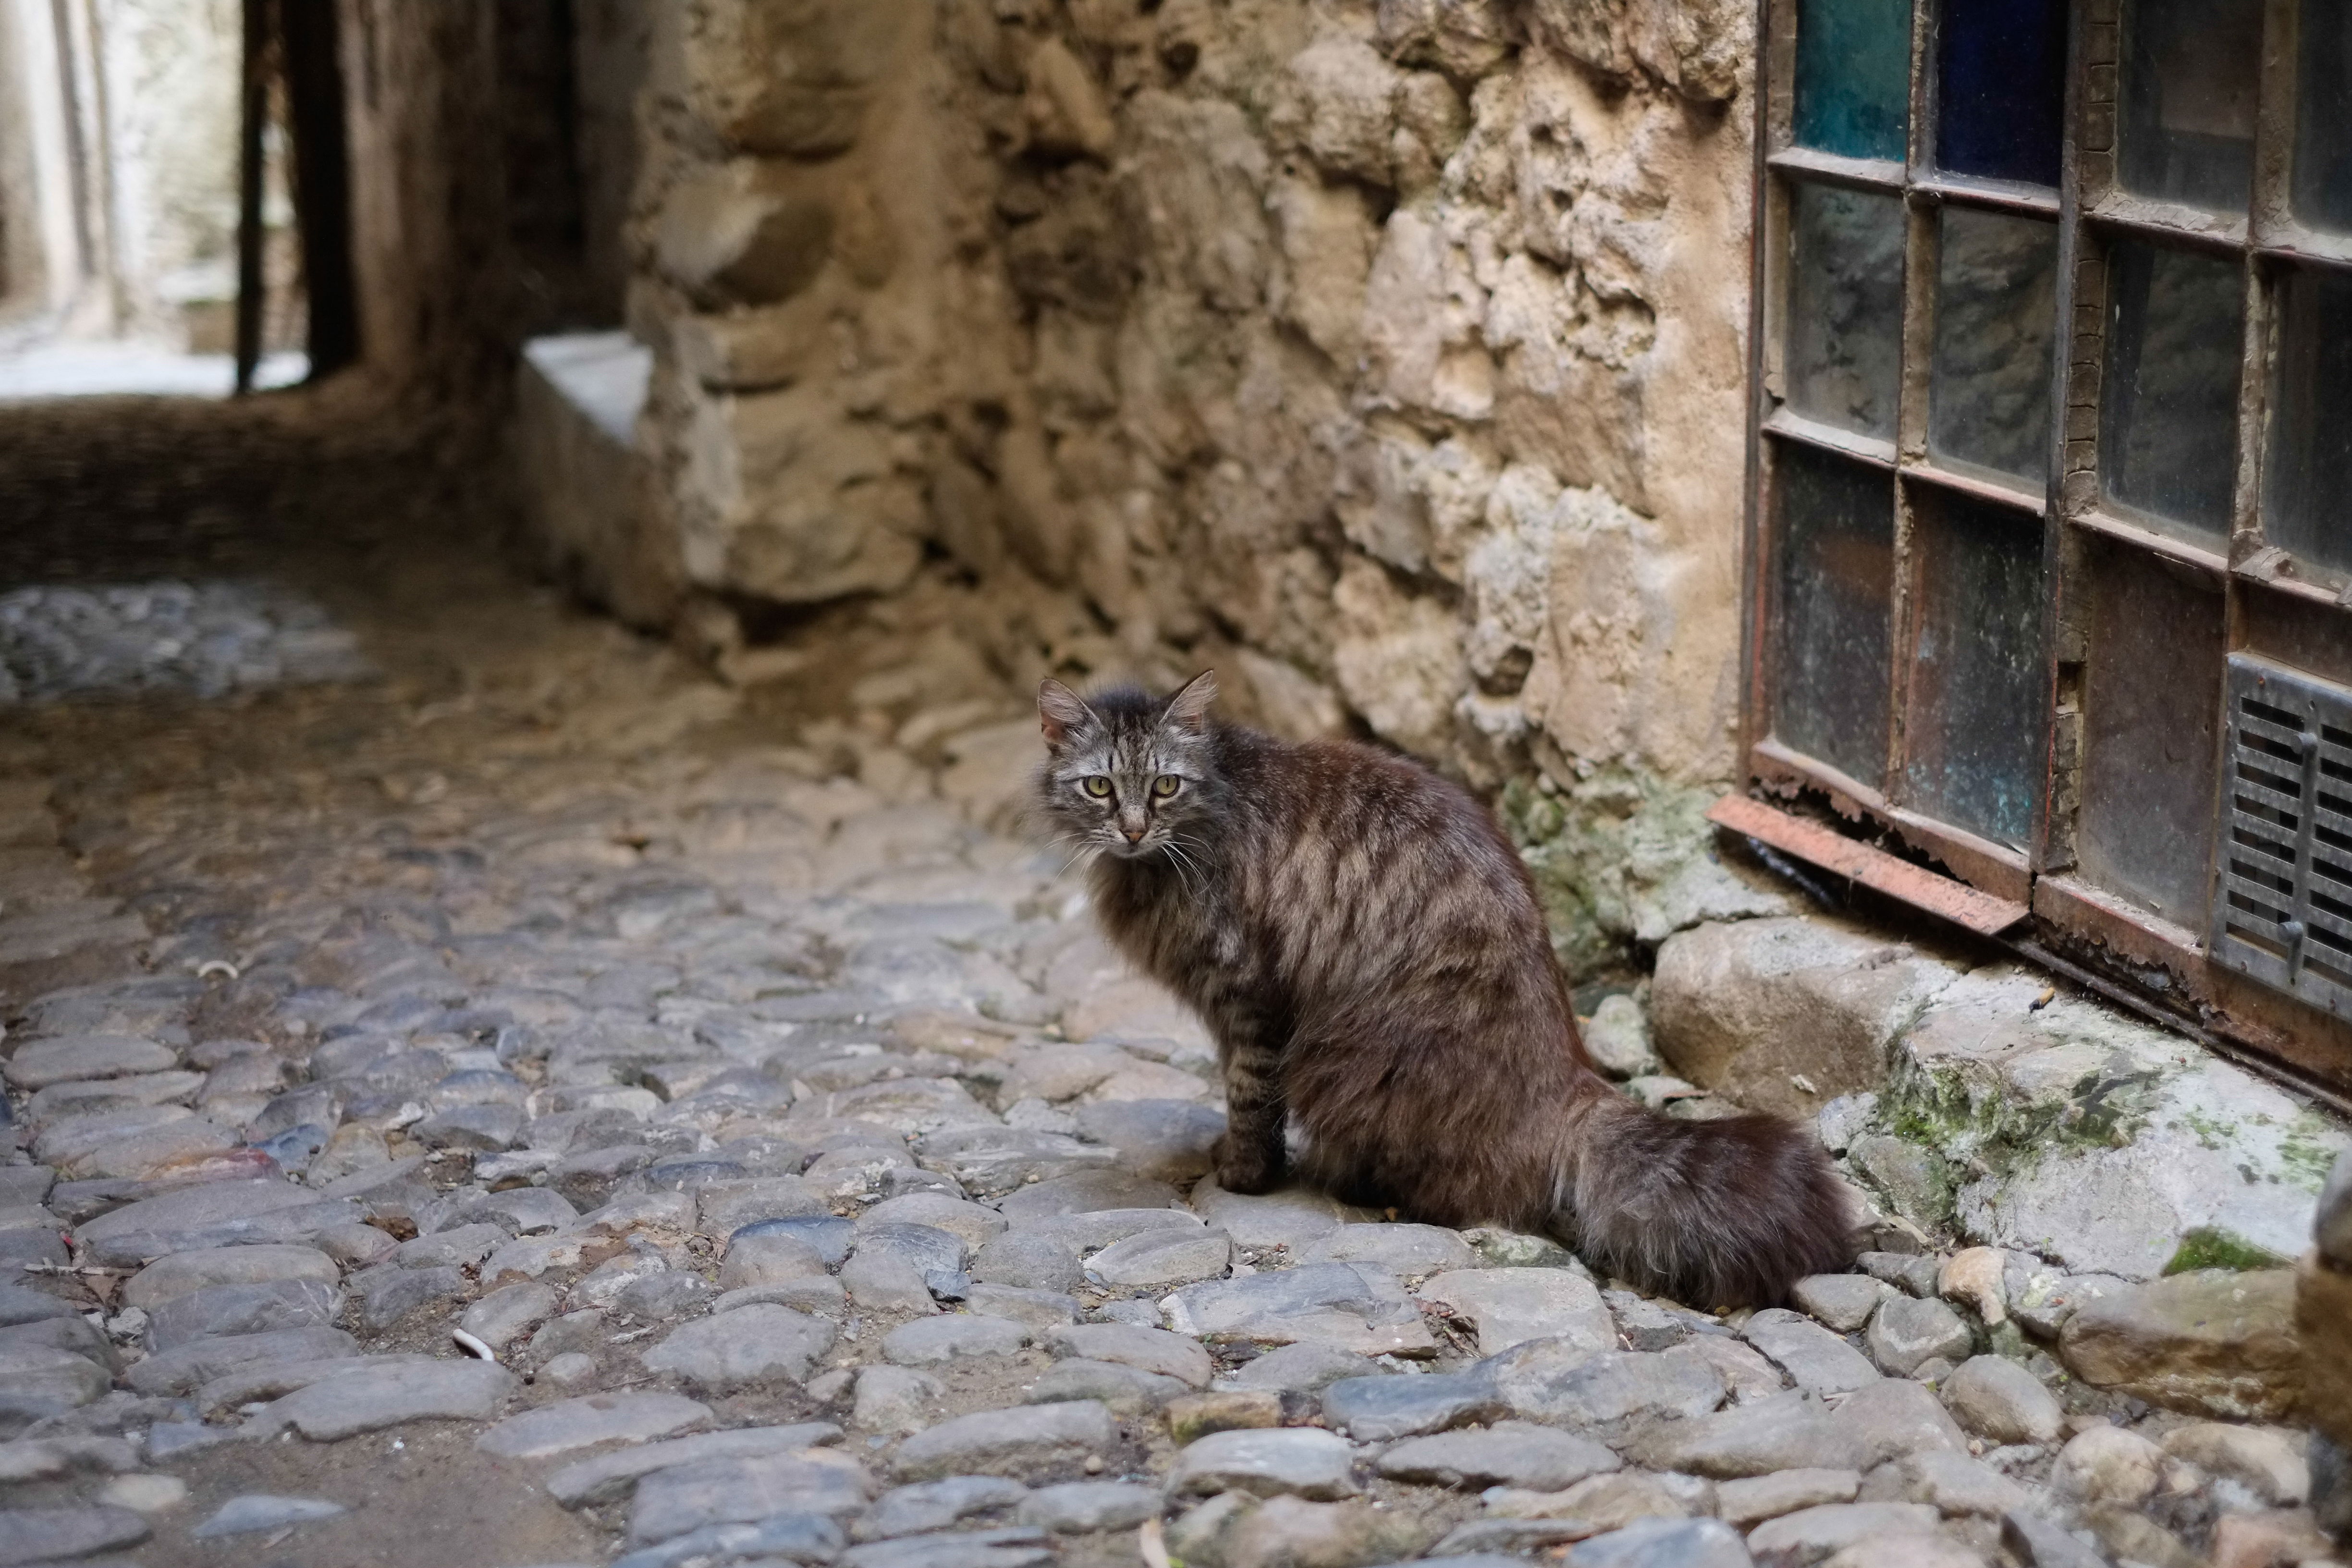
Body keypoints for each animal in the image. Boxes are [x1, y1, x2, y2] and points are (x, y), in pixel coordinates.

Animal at [1030, 667, 1853, 1307]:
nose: (1134, 829)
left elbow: (1248, 1095)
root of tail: (1568, 1079)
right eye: (1100, 788)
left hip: (1345, 1057)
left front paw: (1243, 1174)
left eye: (1165, 786)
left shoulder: (1249, 996)